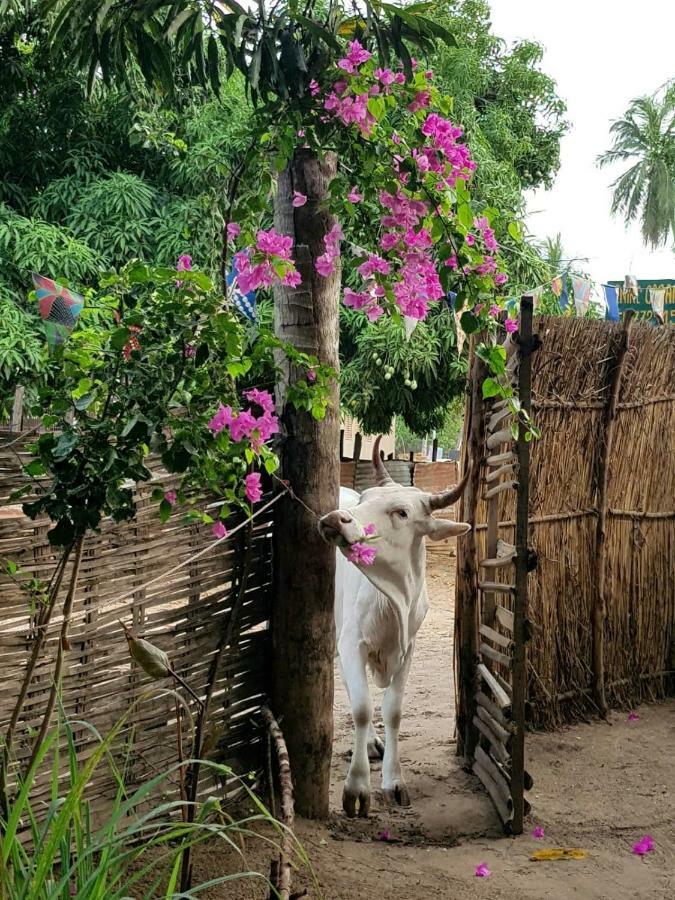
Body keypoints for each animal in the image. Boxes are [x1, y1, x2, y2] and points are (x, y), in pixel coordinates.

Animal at [320, 440, 470, 820]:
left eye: (402, 512)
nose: (335, 520)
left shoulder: (408, 649)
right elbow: (361, 707)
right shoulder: (352, 643)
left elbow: (393, 711)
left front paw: (394, 781)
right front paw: (357, 787)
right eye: (365, 498)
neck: (392, 603)